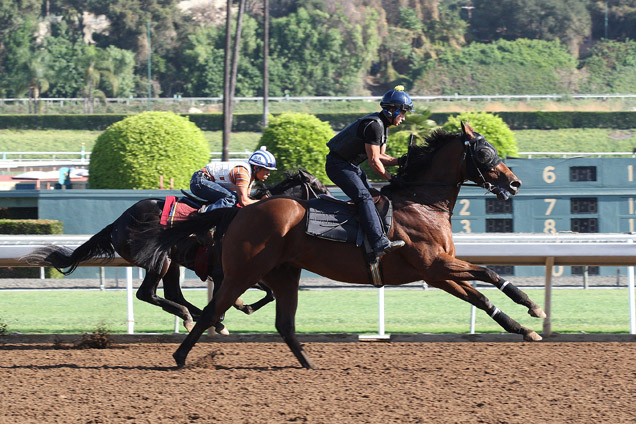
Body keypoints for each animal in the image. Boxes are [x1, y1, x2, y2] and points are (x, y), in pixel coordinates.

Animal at [22, 167, 330, 332]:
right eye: (318, 186)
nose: (332, 201)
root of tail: (117, 222)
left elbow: (266, 293)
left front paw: (238, 308)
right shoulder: (227, 270)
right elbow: (256, 294)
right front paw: (235, 310)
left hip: (172, 262)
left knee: (172, 292)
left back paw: (193, 316)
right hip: (158, 259)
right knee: (147, 293)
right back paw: (190, 316)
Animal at [137, 121, 544, 368]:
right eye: (486, 152)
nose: (515, 183)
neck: (422, 202)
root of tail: (240, 210)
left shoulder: (438, 273)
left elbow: (482, 297)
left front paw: (524, 327)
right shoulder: (433, 265)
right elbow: (490, 272)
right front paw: (534, 307)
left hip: (284, 272)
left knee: (284, 323)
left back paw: (307, 362)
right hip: (244, 271)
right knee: (211, 311)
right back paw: (180, 356)